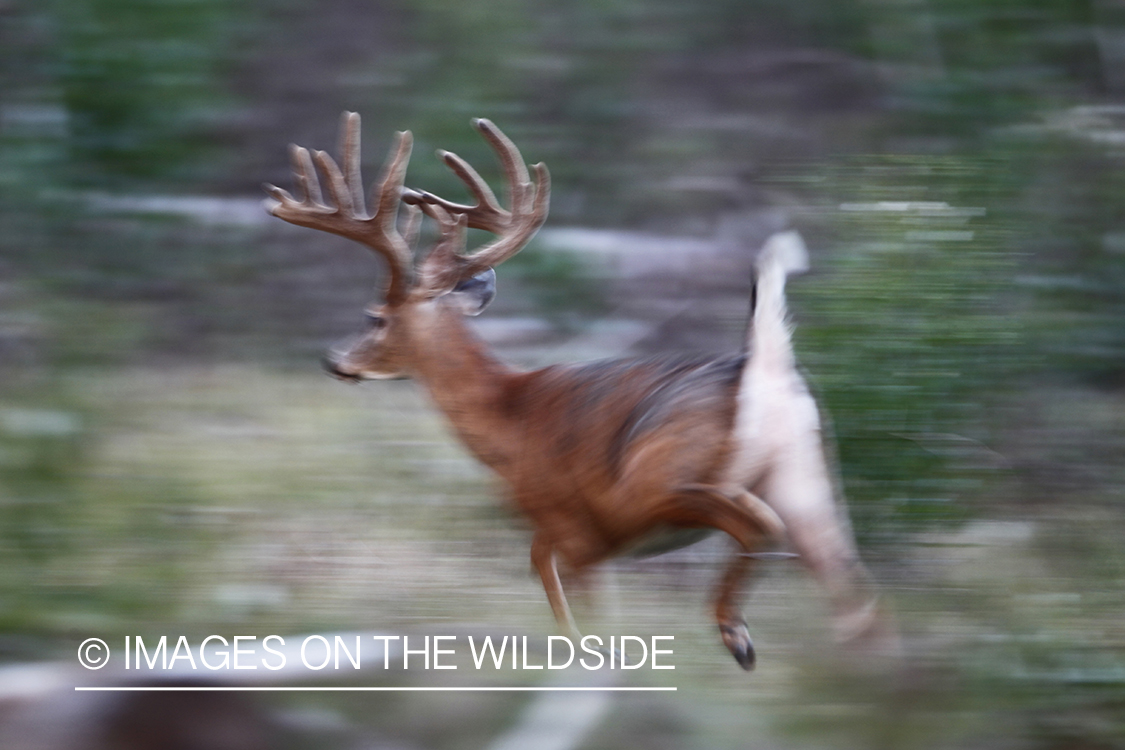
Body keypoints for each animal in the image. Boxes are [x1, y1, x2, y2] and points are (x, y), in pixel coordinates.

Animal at [261, 113, 886, 674]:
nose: (334, 360)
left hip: (667, 478)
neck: (507, 421)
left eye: (375, 317)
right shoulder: (563, 533)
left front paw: (597, 654)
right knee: (856, 590)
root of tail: (763, 366)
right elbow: (546, 575)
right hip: (807, 479)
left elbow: (578, 598)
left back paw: (737, 634)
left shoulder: (573, 523)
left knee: (760, 525)